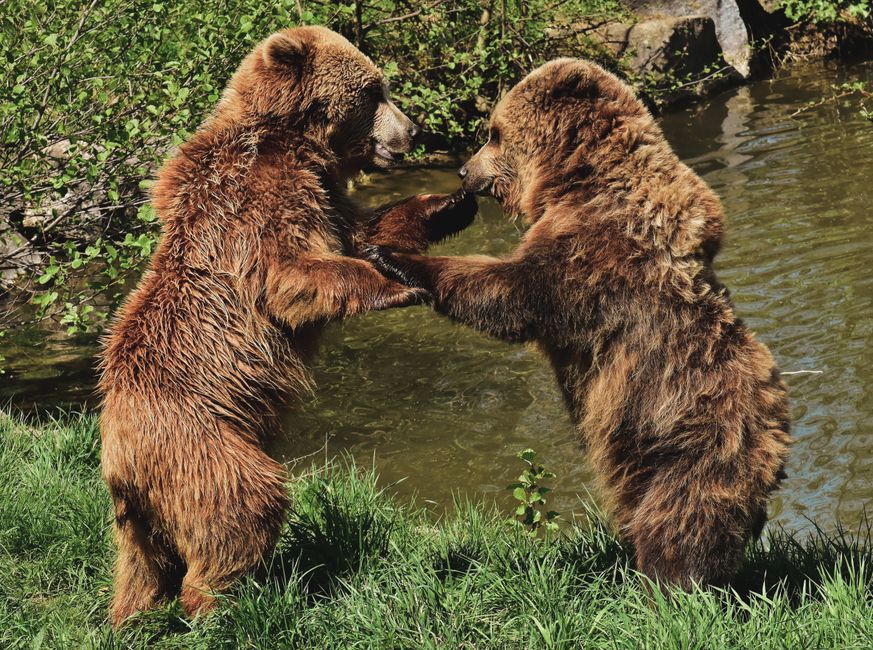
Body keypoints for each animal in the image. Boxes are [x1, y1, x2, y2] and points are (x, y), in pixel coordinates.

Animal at [99, 25, 476, 626]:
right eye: (375, 90)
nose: (414, 129)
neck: (297, 141)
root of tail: (119, 462)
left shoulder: (324, 194)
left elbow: (362, 228)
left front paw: (450, 203)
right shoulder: (260, 199)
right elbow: (294, 275)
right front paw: (398, 283)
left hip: (140, 512)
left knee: (141, 566)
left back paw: (131, 615)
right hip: (202, 444)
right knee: (243, 506)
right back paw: (223, 603)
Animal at [367, 58, 791, 589]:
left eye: (494, 133)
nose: (465, 170)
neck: (575, 179)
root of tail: (776, 441)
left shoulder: (592, 253)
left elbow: (511, 293)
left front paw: (395, 256)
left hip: (691, 441)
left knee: (681, 518)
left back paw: (670, 584)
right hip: (642, 454)